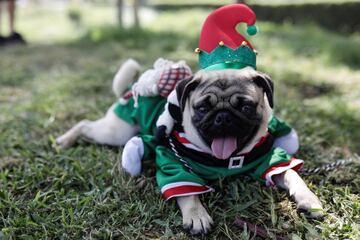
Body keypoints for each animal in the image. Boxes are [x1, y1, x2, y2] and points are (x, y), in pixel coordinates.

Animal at [57, 59, 324, 234]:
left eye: (245, 106)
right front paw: (197, 215)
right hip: (117, 132)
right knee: (85, 125)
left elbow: (291, 175)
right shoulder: (172, 163)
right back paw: (64, 140)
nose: (223, 117)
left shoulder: (269, 159)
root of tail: (128, 92)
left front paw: (309, 199)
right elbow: (188, 192)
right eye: (203, 108)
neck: (225, 160)